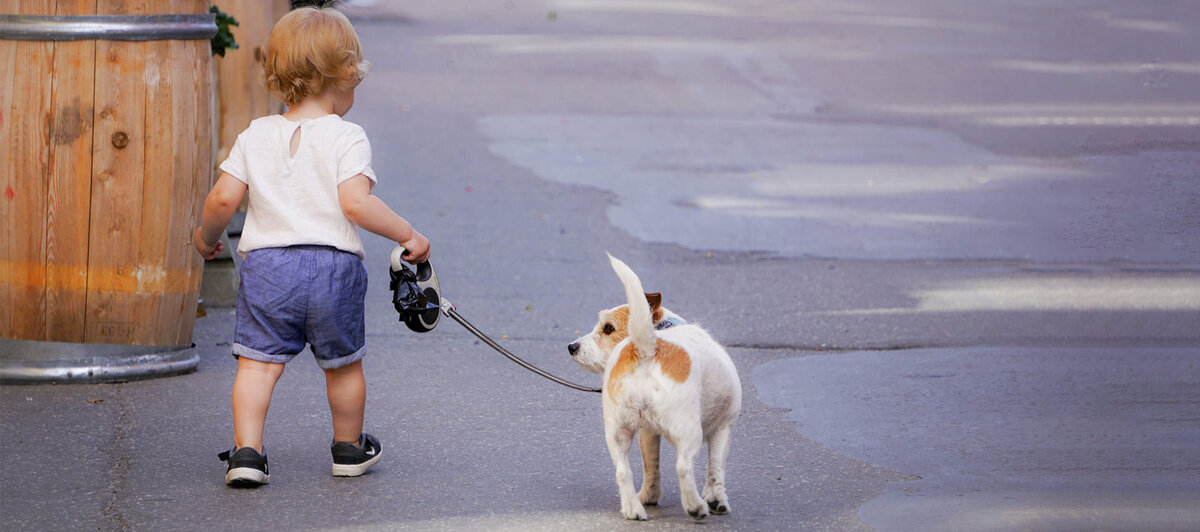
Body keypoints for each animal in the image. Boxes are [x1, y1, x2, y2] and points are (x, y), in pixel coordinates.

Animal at [568, 254, 739, 521]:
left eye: (608, 328)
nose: (572, 347)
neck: (664, 329)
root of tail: (646, 348)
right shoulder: (723, 428)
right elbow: (715, 470)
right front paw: (717, 500)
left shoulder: (648, 433)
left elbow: (651, 467)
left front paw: (649, 496)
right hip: (690, 431)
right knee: (683, 467)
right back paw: (695, 506)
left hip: (617, 433)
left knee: (623, 472)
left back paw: (633, 509)